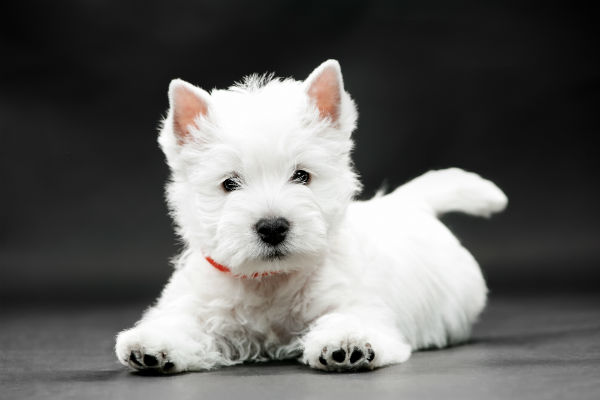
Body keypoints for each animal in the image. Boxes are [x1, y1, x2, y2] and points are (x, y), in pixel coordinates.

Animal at [113, 60, 506, 376]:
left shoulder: (360, 304)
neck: (270, 281)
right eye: (229, 183)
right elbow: (180, 322)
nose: (272, 227)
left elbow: (350, 318)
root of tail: (410, 203)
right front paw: (152, 346)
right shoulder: (198, 304)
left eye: (302, 176)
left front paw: (347, 344)